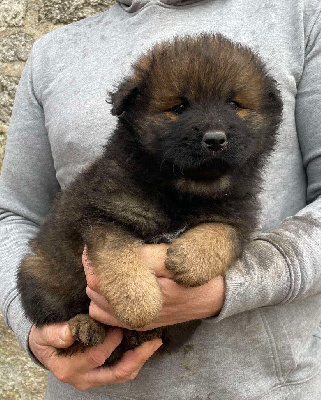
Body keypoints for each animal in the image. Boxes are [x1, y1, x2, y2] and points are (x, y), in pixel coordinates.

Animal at [18, 34, 282, 362]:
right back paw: (85, 326)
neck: (182, 191)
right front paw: (139, 304)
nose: (215, 139)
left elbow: (224, 232)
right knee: (59, 322)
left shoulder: (239, 213)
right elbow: (120, 260)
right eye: (179, 107)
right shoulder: (103, 216)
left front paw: (190, 259)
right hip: (39, 272)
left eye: (234, 104)